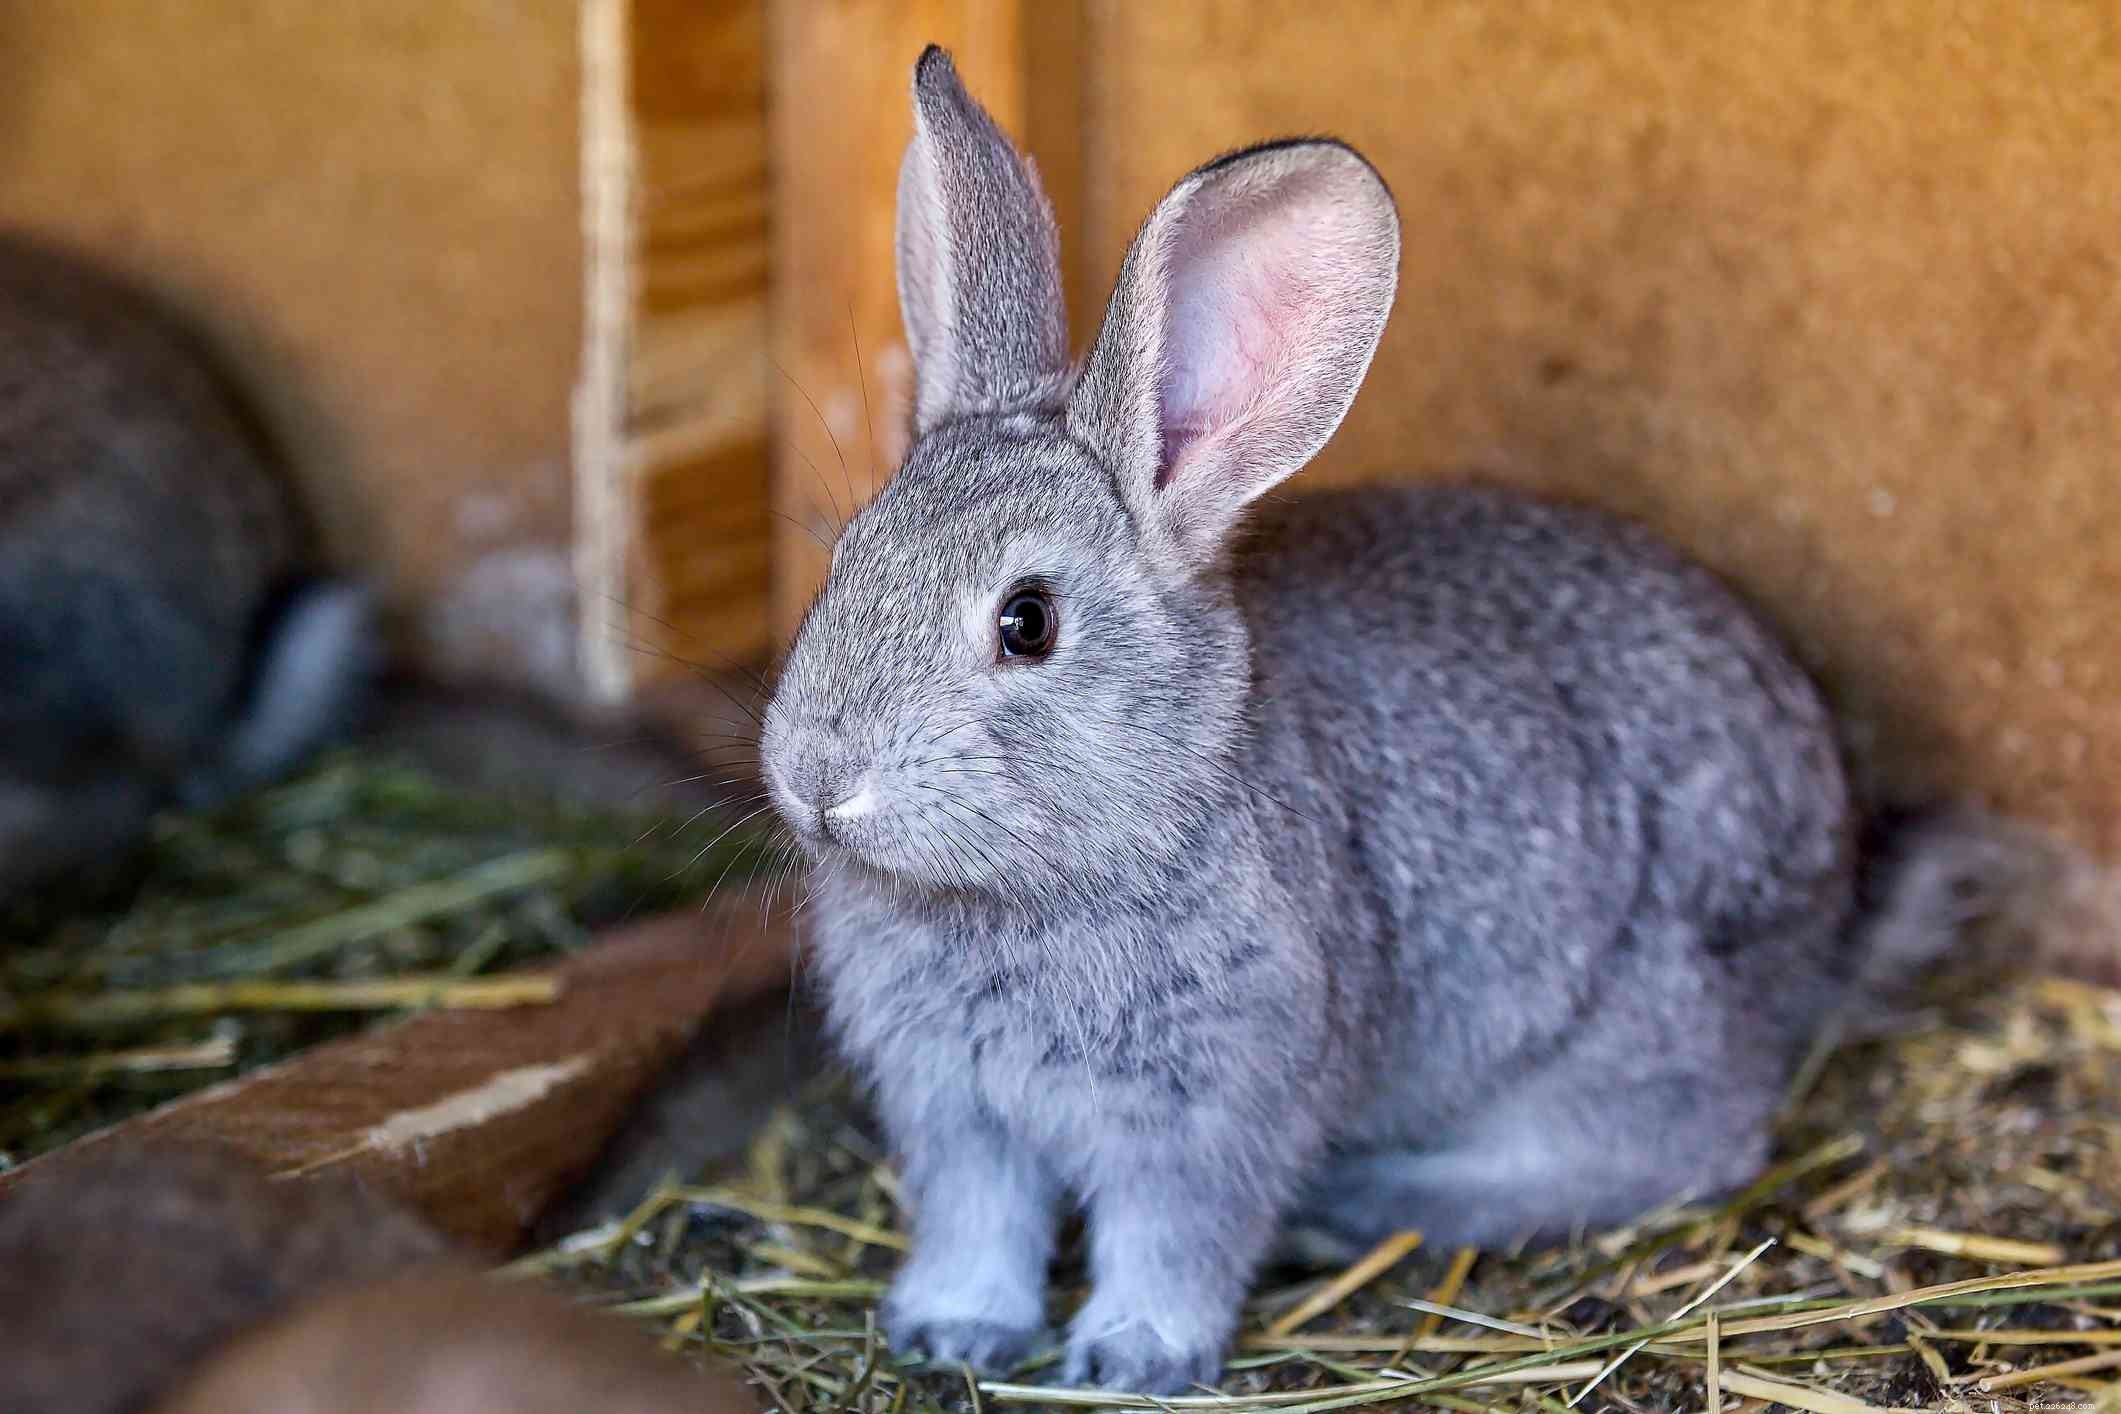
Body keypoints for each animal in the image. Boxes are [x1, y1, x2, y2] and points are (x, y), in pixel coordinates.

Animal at [758, 47, 2004, 1394]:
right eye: (847, 557)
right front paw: (953, 1331)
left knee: (1676, 1149)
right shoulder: (960, 1115)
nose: (819, 777)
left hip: (1629, 1020)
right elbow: (980, 1225)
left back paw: (1379, 1200)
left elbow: (1174, 1238)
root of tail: (1832, 891)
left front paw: (1132, 1358)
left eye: (1027, 622)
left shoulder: (1217, 1108)